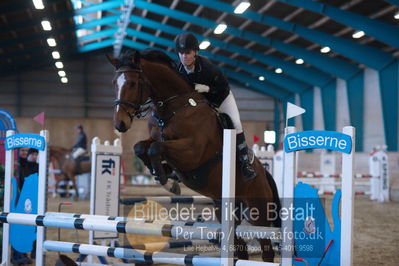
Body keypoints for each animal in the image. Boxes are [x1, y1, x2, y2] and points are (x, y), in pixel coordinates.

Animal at [106, 50, 282, 262]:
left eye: (132, 83)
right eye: (113, 83)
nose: (119, 124)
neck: (173, 107)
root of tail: (265, 174)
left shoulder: (192, 151)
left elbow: (155, 148)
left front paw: (167, 181)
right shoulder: (156, 139)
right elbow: (141, 147)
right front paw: (165, 175)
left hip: (258, 212)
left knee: (267, 248)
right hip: (227, 211)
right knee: (240, 248)